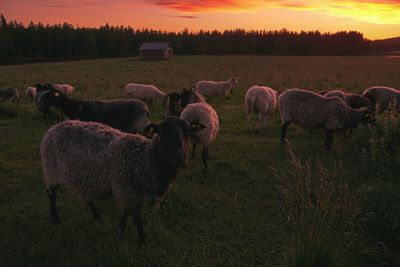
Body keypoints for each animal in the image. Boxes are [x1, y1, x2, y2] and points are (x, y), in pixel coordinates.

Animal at [41, 119, 206, 247]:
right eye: (161, 131)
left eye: (188, 130)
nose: (180, 157)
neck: (145, 158)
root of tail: (54, 127)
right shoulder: (128, 190)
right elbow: (138, 221)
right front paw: (141, 243)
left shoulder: (129, 192)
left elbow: (126, 213)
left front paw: (121, 230)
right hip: (51, 170)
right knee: (51, 194)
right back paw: (55, 219)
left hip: (83, 176)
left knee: (86, 196)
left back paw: (97, 216)